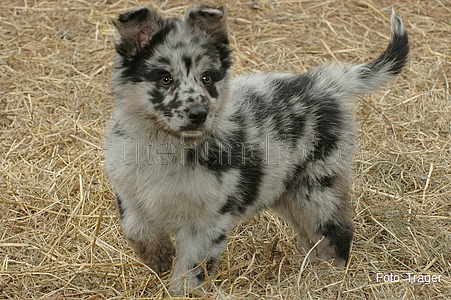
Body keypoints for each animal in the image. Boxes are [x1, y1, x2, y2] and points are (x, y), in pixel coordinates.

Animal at [105, 4, 410, 296]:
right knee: (311, 238)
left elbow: (191, 268)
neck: (167, 145)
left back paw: (330, 280)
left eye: (208, 78)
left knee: (337, 232)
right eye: (165, 79)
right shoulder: (130, 191)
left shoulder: (208, 219)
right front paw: (159, 257)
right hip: (286, 192)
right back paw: (310, 272)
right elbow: (136, 229)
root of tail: (325, 81)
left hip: (317, 188)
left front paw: (181, 290)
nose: (198, 114)